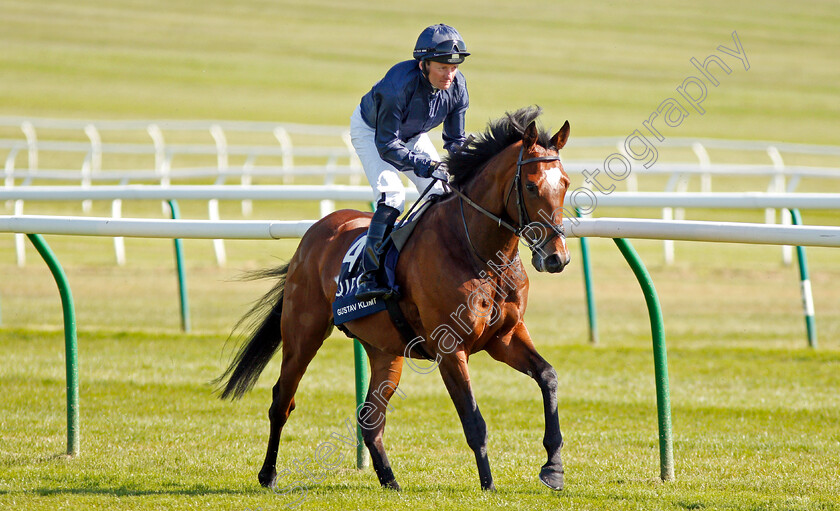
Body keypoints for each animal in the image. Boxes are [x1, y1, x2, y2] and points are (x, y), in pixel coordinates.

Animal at [215, 106, 572, 494]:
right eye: (531, 185)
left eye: (565, 183)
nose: (557, 258)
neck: (476, 251)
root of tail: (313, 234)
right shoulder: (449, 348)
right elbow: (473, 418)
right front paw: (489, 485)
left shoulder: (504, 337)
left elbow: (548, 376)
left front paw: (553, 468)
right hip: (302, 334)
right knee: (282, 401)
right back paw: (268, 474)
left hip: (385, 350)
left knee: (370, 417)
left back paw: (389, 480)